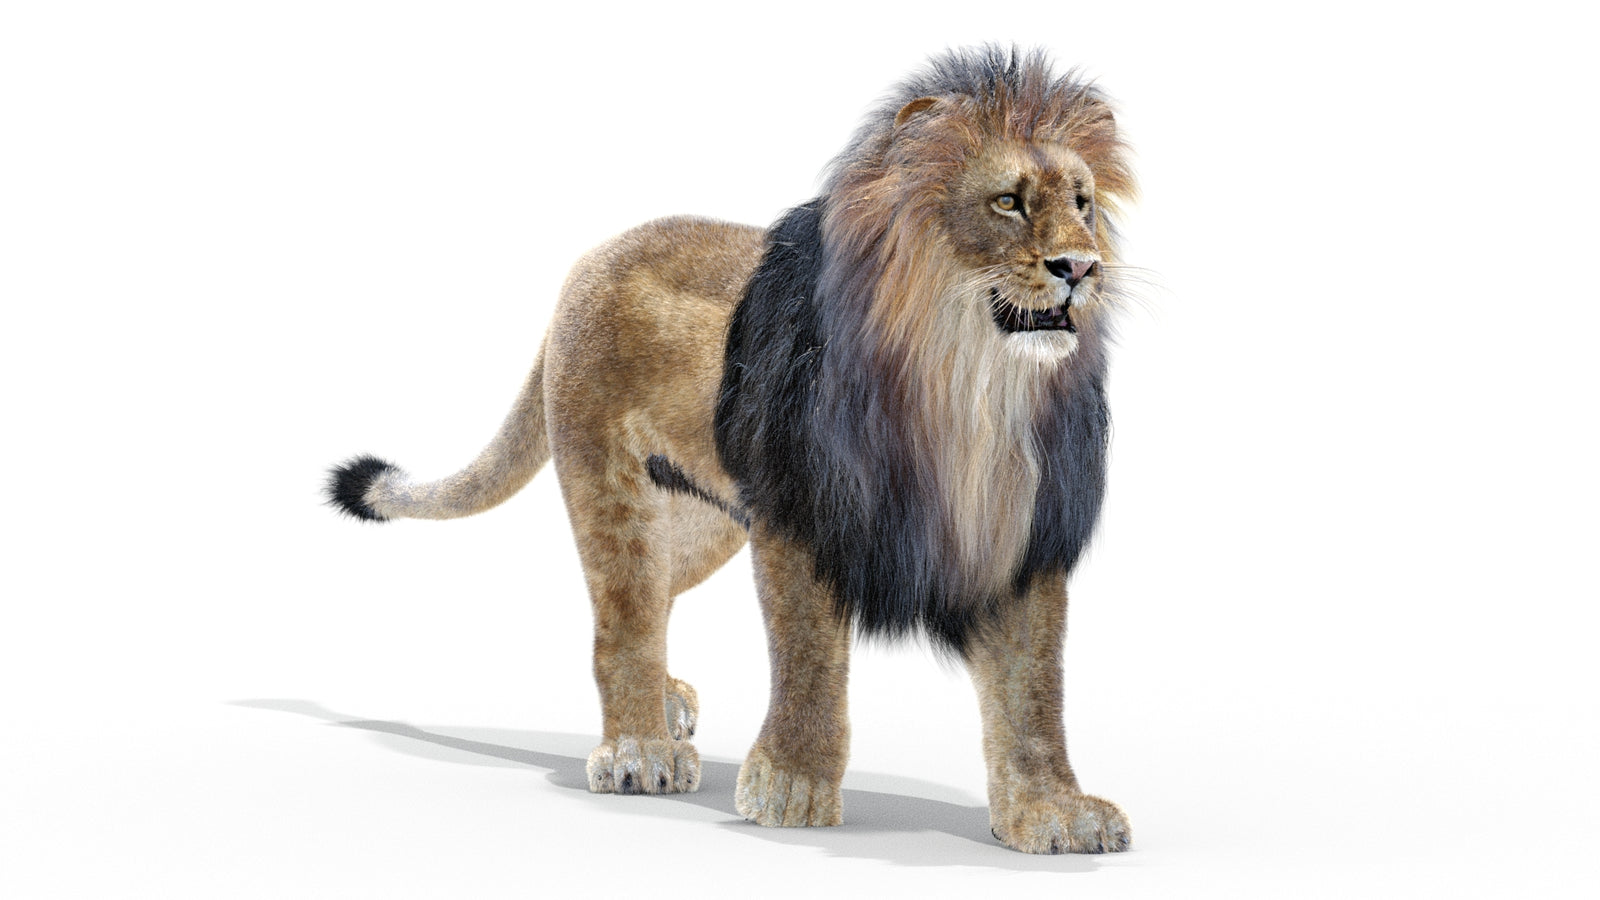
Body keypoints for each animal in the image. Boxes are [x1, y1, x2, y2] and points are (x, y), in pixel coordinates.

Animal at [326, 46, 1138, 854]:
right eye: (1008, 202)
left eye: (1083, 204)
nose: (1081, 266)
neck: (971, 386)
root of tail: (588, 263)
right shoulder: (802, 517)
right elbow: (808, 662)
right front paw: (792, 788)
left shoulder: (1022, 533)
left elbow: (1033, 692)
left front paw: (1053, 811)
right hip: (611, 488)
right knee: (623, 619)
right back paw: (639, 750)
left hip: (706, 516)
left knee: (656, 596)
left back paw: (665, 704)